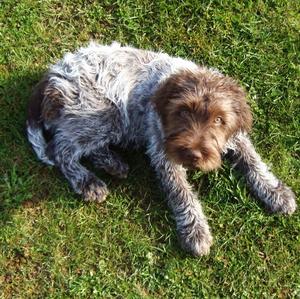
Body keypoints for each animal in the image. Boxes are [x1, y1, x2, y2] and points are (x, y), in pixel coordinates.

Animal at [27, 41, 296, 258]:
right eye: (183, 111)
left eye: (219, 120)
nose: (194, 155)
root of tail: (52, 75)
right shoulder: (164, 151)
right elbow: (181, 193)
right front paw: (195, 231)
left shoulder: (235, 138)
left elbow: (254, 162)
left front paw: (275, 192)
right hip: (101, 113)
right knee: (61, 149)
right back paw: (88, 181)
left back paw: (112, 162)